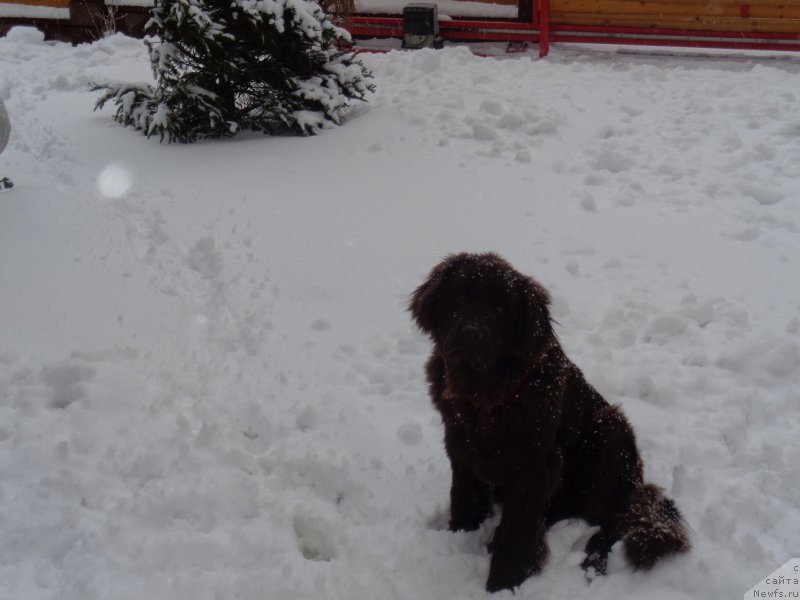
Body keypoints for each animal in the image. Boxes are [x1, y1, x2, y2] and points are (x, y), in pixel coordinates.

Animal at [410, 252, 692, 592]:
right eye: (462, 296)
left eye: (500, 310)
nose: (471, 333)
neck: (484, 399)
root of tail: (636, 483)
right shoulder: (460, 446)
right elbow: (465, 498)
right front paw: (460, 538)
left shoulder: (535, 466)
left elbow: (516, 528)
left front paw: (504, 582)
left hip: (611, 428)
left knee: (613, 519)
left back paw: (593, 561)